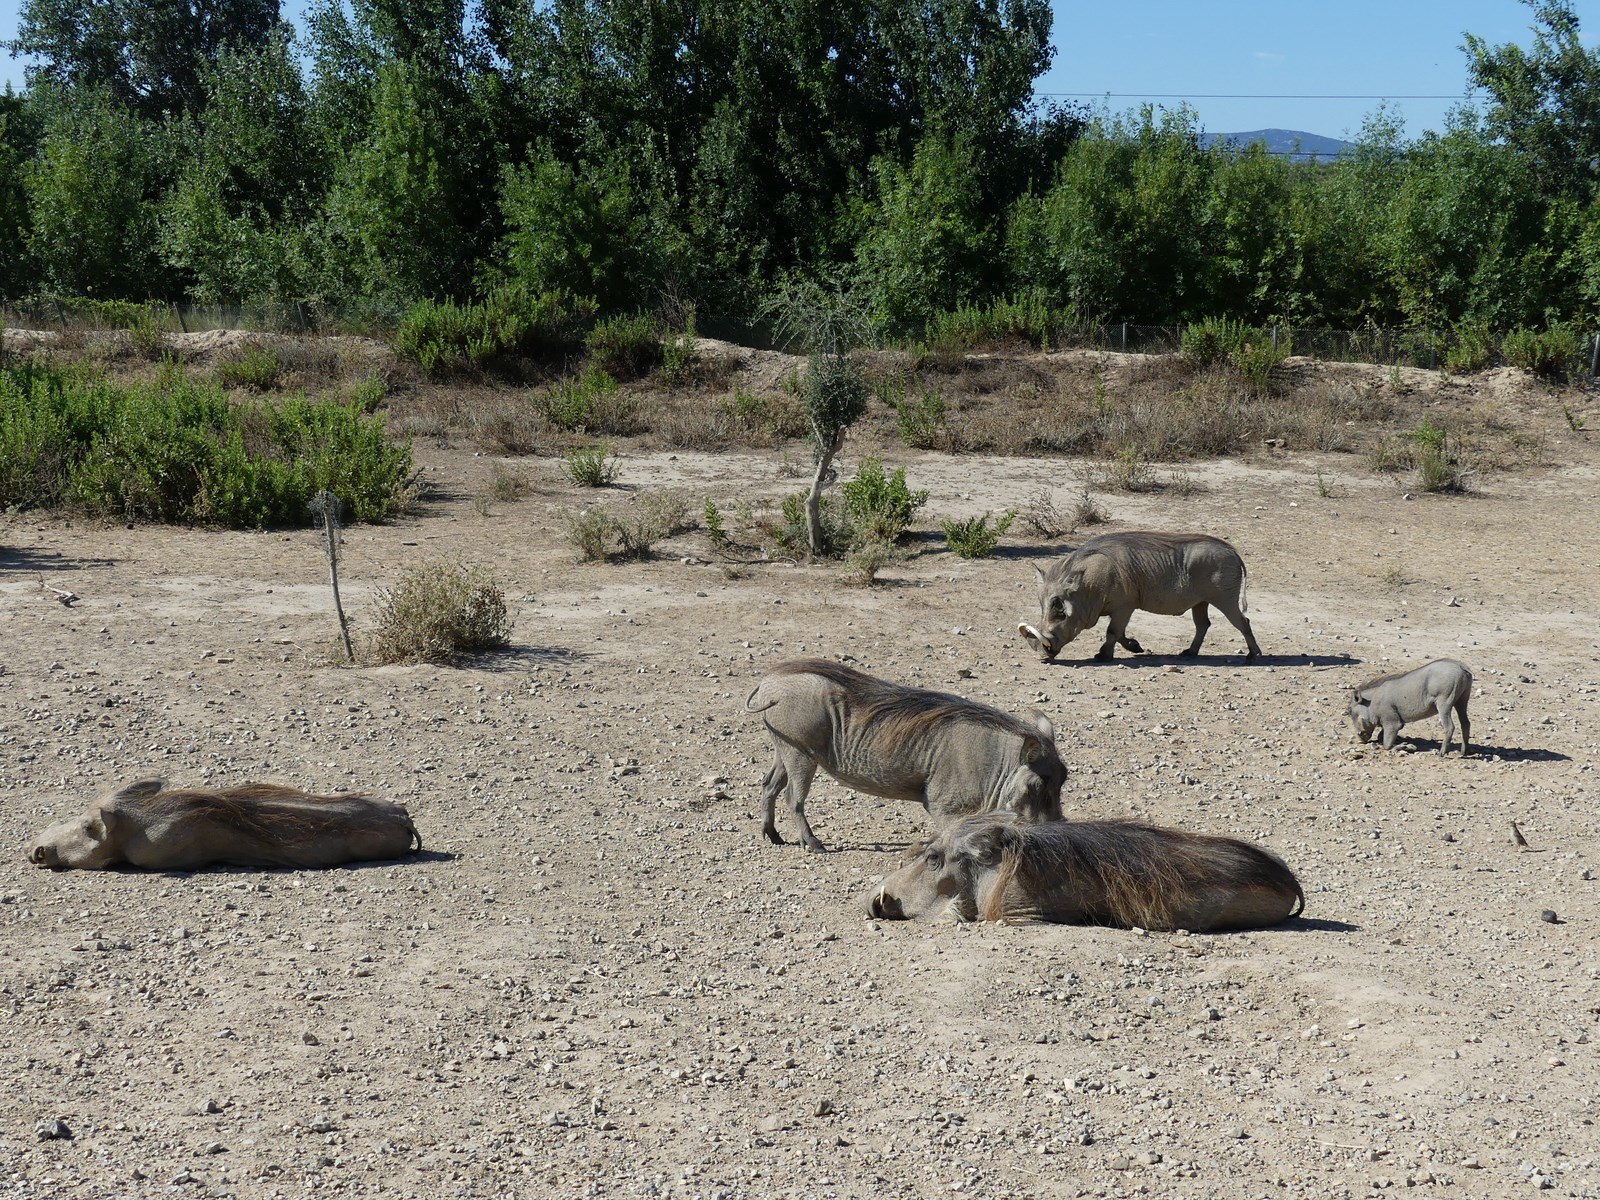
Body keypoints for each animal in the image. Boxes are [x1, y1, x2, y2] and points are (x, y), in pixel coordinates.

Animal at [746, 658, 1066, 852]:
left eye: (1064, 778)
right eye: (1036, 785)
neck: (997, 764)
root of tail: (767, 681)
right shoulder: (944, 805)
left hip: (783, 749)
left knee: (769, 785)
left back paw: (773, 836)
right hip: (799, 753)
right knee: (793, 798)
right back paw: (814, 844)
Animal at [1020, 531, 1262, 662]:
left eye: (1060, 609)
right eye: (1042, 604)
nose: (1041, 655)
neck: (1090, 585)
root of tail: (1234, 553)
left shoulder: (1125, 606)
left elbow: (1113, 632)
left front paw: (1103, 656)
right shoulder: (1120, 609)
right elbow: (1120, 634)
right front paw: (1136, 647)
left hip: (1225, 599)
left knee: (1243, 622)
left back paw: (1253, 656)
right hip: (1200, 602)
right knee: (1203, 624)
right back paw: (1188, 653)